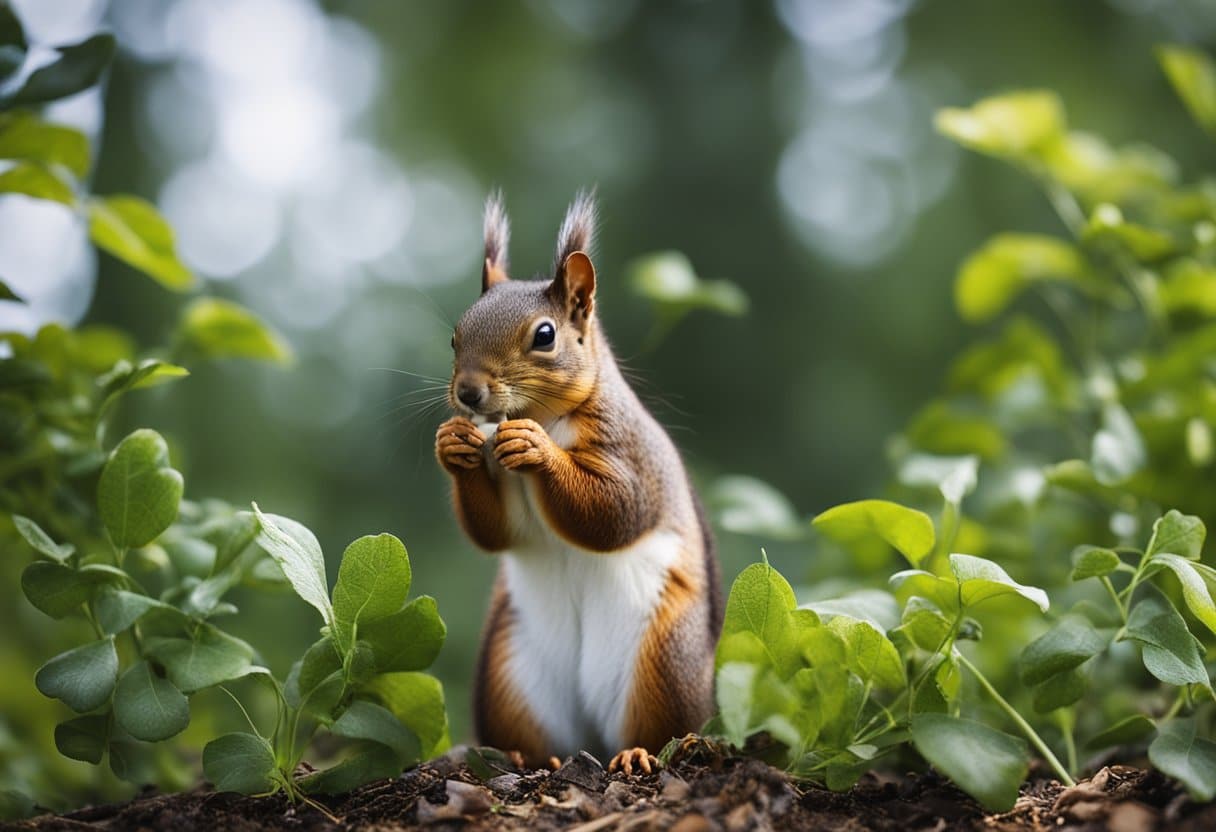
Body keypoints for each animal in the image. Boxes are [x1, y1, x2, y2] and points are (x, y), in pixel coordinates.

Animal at [435, 190, 722, 775]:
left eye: (544, 336)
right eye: (454, 336)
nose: (468, 393)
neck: (543, 416)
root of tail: (591, 736)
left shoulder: (630, 454)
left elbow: (616, 512)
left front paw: (537, 451)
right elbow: (496, 532)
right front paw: (452, 443)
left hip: (662, 660)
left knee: (661, 730)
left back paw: (638, 752)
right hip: (510, 669)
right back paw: (522, 753)